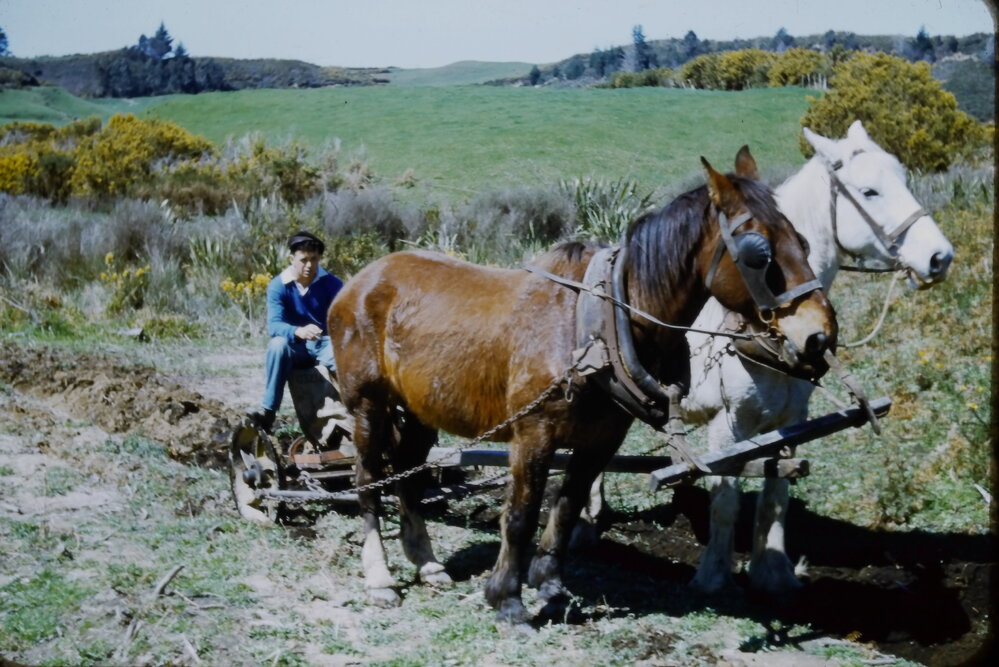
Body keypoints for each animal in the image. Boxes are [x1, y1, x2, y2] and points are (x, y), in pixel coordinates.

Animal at [328, 148, 838, 628]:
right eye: (758, 254)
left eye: (802, 241)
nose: (819, 336)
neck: (596, 326)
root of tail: (359, 281)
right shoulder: (533, 435)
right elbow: (521, 514)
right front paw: (507, 599)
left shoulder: (601, 439)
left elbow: (568, 506)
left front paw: (551, 589)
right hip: (368, 406)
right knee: (368, 478)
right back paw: (380, 576)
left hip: (417, 409)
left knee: (407, 471)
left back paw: (427, 561)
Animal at [570, 121, 955, 598]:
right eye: (869, 191)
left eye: (903, 178)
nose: (940, 257)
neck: (763, 333)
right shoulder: (727, 425)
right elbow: (726, 498)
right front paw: (713, 576)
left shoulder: (790, 422)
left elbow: (777, 494)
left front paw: (773, 573)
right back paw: (584, 526)